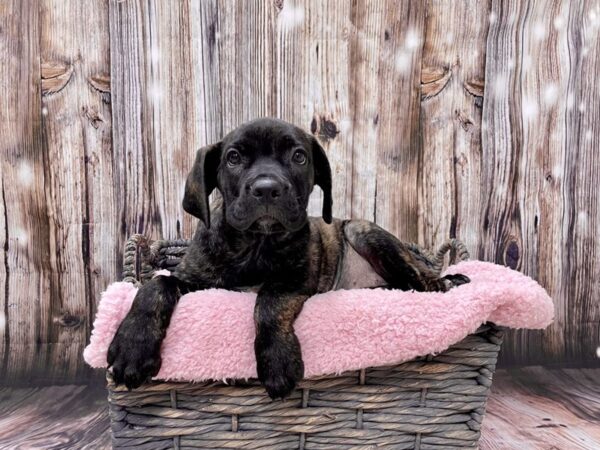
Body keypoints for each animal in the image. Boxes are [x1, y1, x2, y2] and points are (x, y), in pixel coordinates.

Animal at [109, 118, 474, 400]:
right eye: (233, 157)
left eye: (299, 157)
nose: (267, 189)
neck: (256, 245)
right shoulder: (195, 281)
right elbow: (155, 285)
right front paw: (132, 349)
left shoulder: (296, 281)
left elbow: (269, 302)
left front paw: (278, 362)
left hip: (363, 230)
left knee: (421, 282)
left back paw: (447, 282)